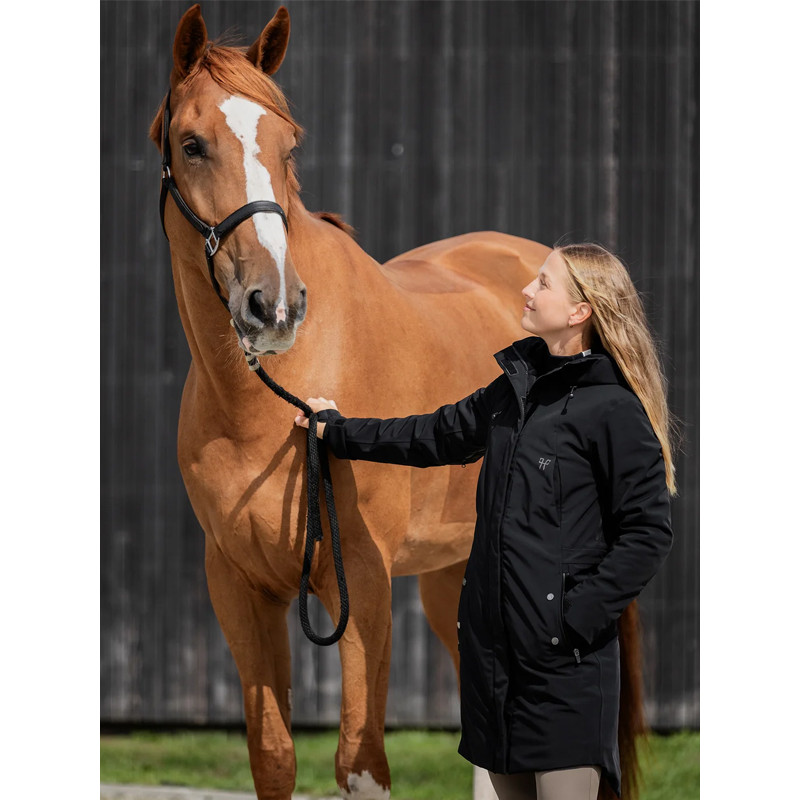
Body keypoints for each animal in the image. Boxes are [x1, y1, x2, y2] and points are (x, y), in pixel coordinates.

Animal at [149, 6, 646, 800]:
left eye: (289, 145)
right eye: (192, 144)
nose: (274, 305)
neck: (266, 404)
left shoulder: (363, 585)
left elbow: (360, 762)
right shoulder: (238, 586)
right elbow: (274, 757)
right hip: (456, 578)